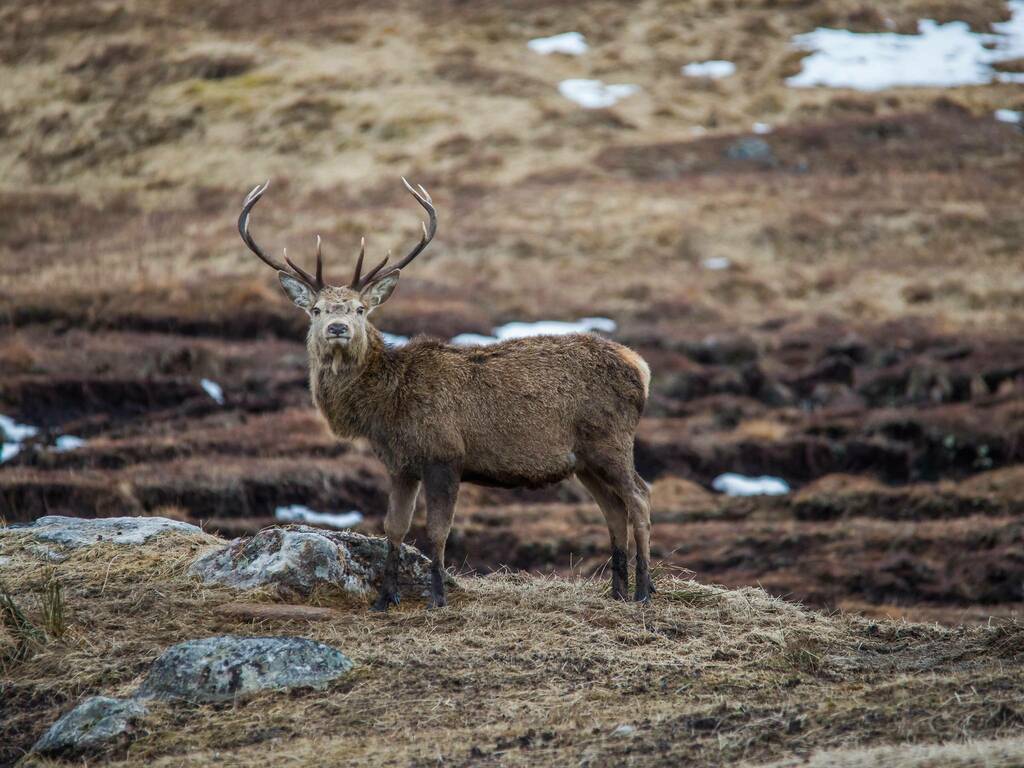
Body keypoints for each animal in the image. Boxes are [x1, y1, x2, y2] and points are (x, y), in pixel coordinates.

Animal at [236, 177, 651, 610]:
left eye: (360, 309)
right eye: (316, 310)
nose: (337, 328)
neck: (383, 409)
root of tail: (640, 365)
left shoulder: (444, 455)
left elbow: (437, 531)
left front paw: (438, 597)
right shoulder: (401, 464)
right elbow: (394, 528)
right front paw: (385, 598)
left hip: (610, 440)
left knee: (639, 498)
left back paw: (642, 590)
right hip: (585, 460)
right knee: (613, 509)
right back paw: (617, 591)